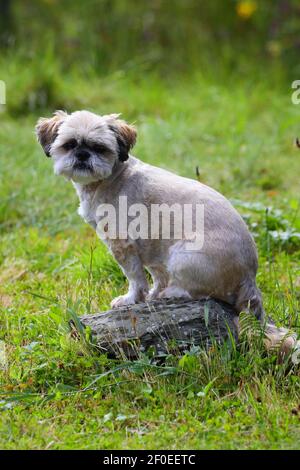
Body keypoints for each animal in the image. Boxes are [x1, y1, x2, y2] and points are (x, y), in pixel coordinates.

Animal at [35, 110, 264, 320]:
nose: (82, 154)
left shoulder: (122, 245)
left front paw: (131, 299)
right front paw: (151, 295)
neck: (111, 177)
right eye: (70, 145)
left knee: (197, 292)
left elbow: (135, 278)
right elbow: (156, 275)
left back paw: (171, 293)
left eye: (99, 148)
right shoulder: (152, 246)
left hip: (183, 256)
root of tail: (249, 278)